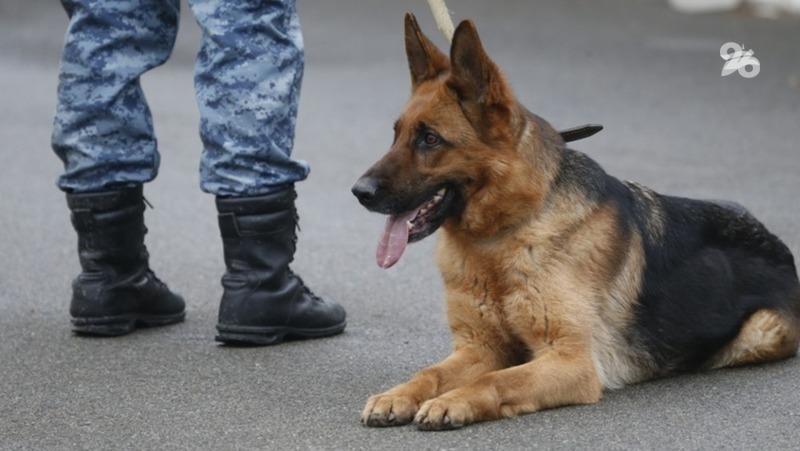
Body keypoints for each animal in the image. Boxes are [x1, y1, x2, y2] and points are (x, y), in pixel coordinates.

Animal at [350, 13, 800, 430]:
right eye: (396, 134)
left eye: (430, 139)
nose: (359, 192)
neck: (503, 236)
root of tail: (778, 244)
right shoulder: (479, 348)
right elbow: (429, 373)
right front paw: (399, 394)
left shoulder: (570, 361)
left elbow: (496, 381)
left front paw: (454, 401)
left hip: (759, 333)